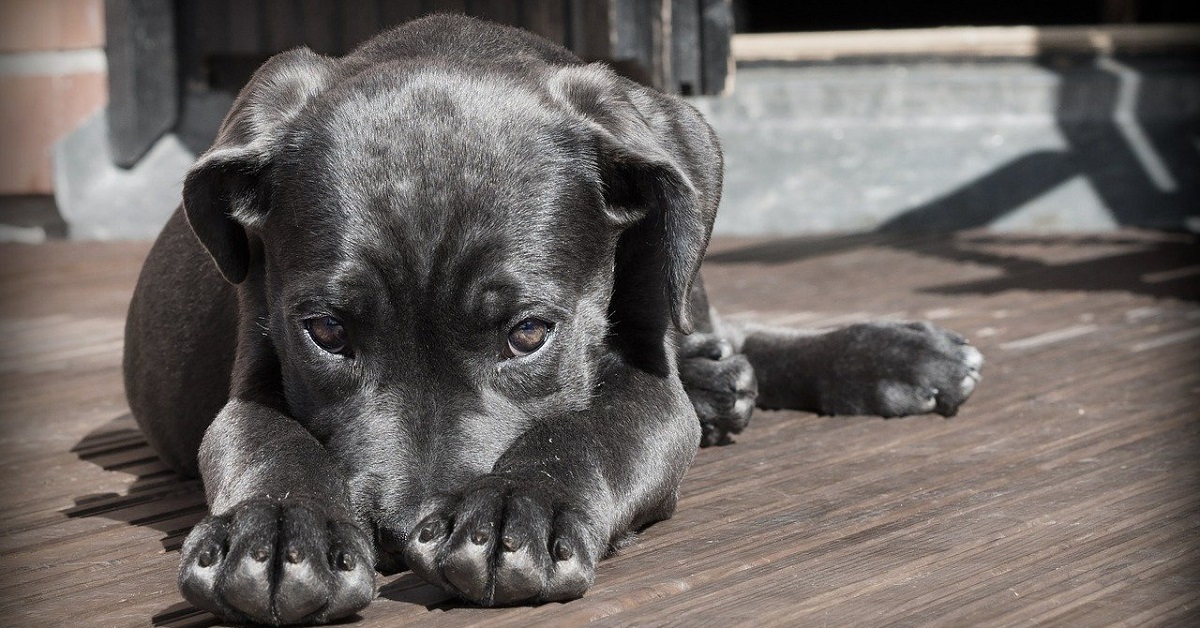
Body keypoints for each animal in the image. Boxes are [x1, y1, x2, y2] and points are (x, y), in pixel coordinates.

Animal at [124, 13, 984, 624]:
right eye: (327, 333)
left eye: (529, 334)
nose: (400, 534)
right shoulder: (255, 370)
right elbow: (266, 439)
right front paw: (276, 531)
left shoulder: (647, 385)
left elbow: (589, 428)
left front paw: (517, 507)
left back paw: (887, 357)